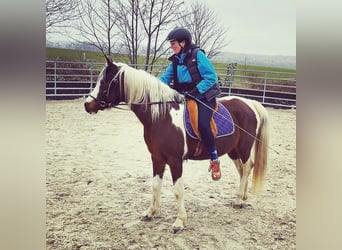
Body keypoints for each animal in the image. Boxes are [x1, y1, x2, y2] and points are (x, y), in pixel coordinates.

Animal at [83, 55, 270, 233]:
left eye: (104, 81)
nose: (87, 104)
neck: (162, 116)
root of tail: (250, 103)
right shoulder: (156, 158)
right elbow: (155, 186)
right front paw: (151, 212)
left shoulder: (175, 161)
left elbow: (178, 191)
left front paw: (179, 221)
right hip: (233, 150)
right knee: (243, 169)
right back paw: (242, 197)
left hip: (243, 148)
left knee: (247, 167)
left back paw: (238, 200)